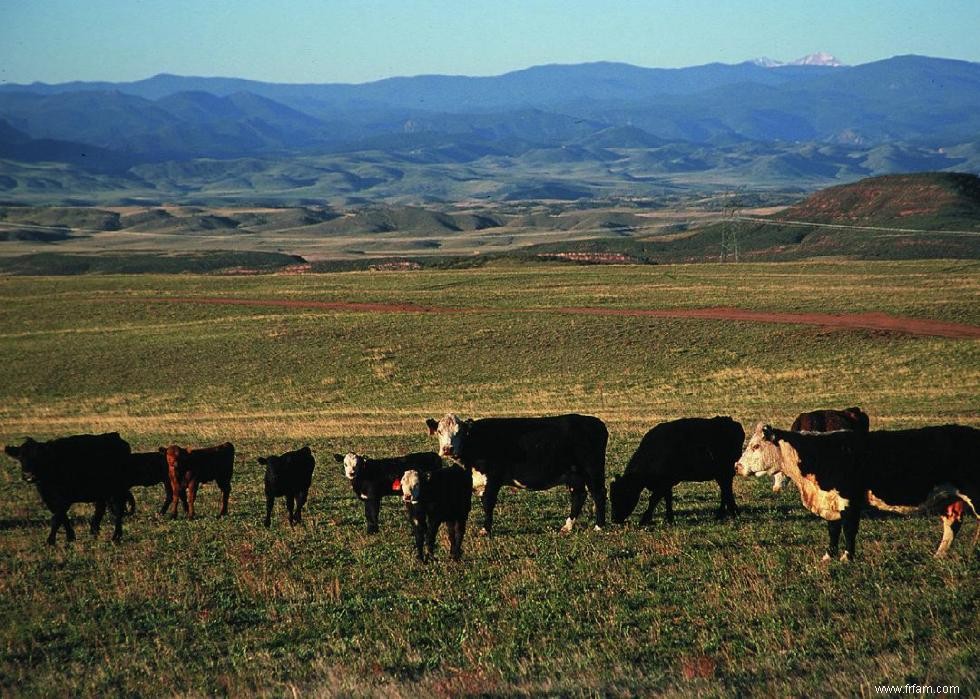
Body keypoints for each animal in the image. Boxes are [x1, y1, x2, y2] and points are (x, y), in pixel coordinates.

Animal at [3, 434, 132, 544]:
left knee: (118, 510)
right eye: (20, 457)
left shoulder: (65, 499)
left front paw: (50, 541)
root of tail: (116, 437)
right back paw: (94, 531)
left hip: (117, 490)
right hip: (102, 491)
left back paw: (116, 536)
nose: (28, 475)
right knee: (100, 508)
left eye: (40, 457)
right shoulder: (50, 499)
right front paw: (70, 537)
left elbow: (56, 518)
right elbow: (63, 517)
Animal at [426, 412, 604, 540]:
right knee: (579, 496)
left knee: (598, 495)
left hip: (592, 470)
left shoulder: (493, 478)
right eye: (439, 432)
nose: (447, 449)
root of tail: (594, 422)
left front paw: (485, 530)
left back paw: (599, 526)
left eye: (459, 432)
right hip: (574, 475)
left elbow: (488, 504)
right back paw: (567, 527)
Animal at [608, 416, 748, 524]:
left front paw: (644, 520)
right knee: (725, 491)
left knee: (726, 491)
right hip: (721, 474)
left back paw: (729, 513)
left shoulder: (663, 483)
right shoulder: (666, 484)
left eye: (622, 495)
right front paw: (669, 518)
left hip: (725, 473)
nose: (614, 519)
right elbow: (668, 499)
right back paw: (725, 513)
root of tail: (731, 422)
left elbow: (653, 500)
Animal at [736, 422, 980, 564]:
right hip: (950, 500)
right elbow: (833, 530)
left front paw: (847, 557)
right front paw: (829, 556)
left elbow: (849, 530)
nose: (737, 466)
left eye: (756, 446)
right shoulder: (831, 502)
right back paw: (940, 554)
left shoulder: (849, 500)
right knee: (952, 525)